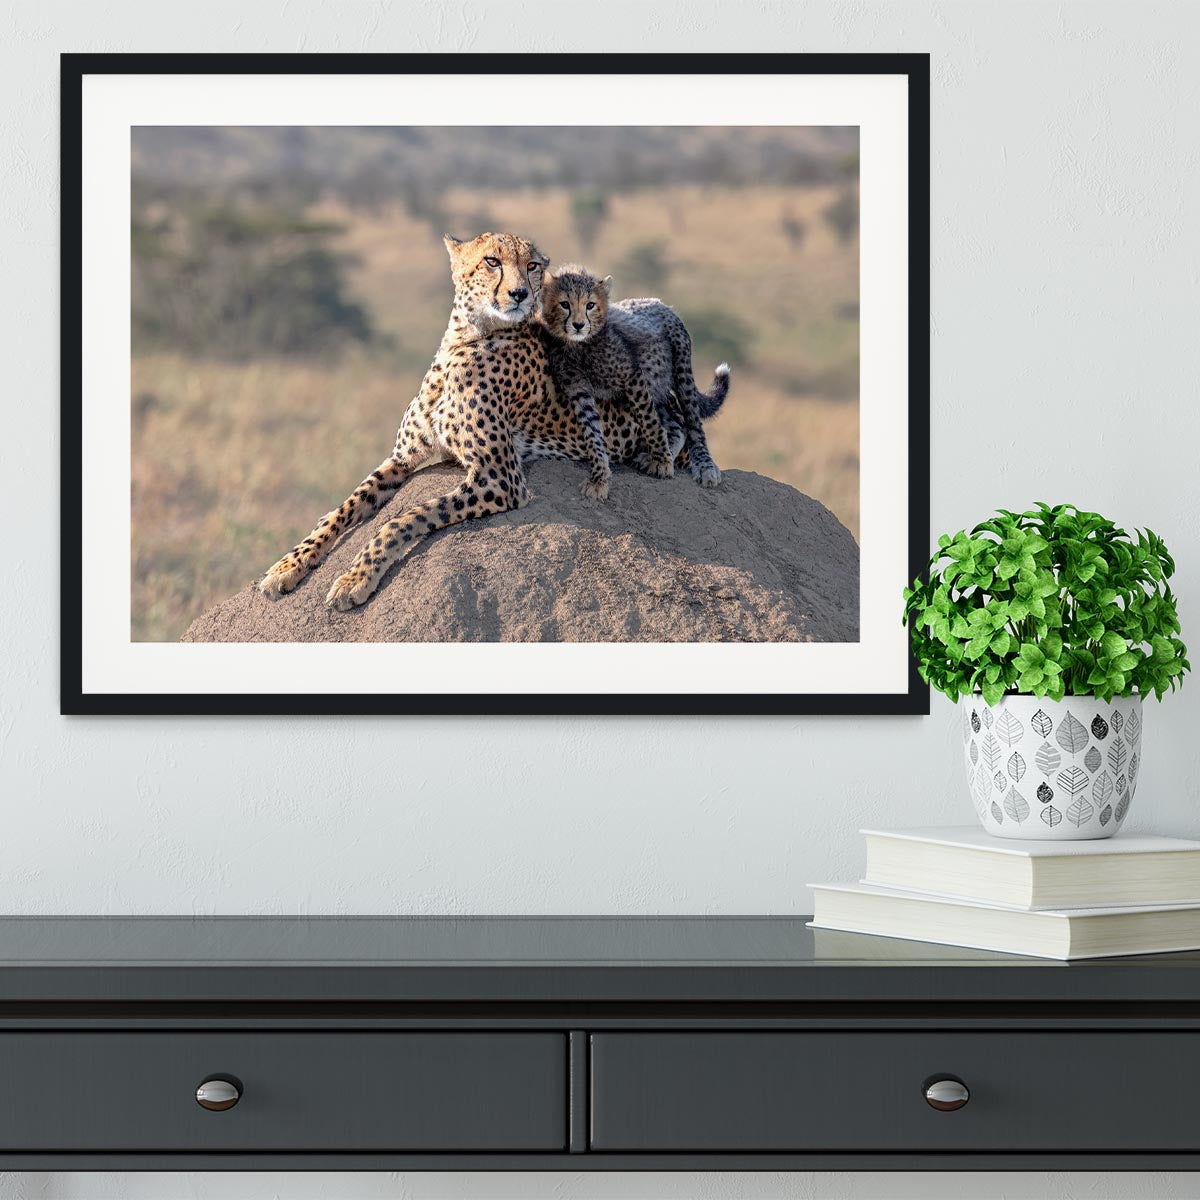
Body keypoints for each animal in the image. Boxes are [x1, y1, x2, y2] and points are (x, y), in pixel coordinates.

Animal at [258, 232, 659, 611]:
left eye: (532, 265)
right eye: (492, 261)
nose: (519, 293)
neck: (465, 338)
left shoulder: (501, 478)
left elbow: (405, 517)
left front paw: (355, 578)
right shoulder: (402, 458)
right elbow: (345, 507)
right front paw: (288, 565)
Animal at [539, 266, 730, 488]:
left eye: (590, 305)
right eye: (565, 304)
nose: (578, 325)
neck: (578, 345)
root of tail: (659, 302)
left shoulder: (632, 376)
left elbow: (650, 422)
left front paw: (663, 462)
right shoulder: (578, 389)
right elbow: (592, 429)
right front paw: (599, 475)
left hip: (680, 370)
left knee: (692, 421)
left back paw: (704, 466)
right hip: (655, 385)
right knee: (675, 422)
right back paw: (654, 456)